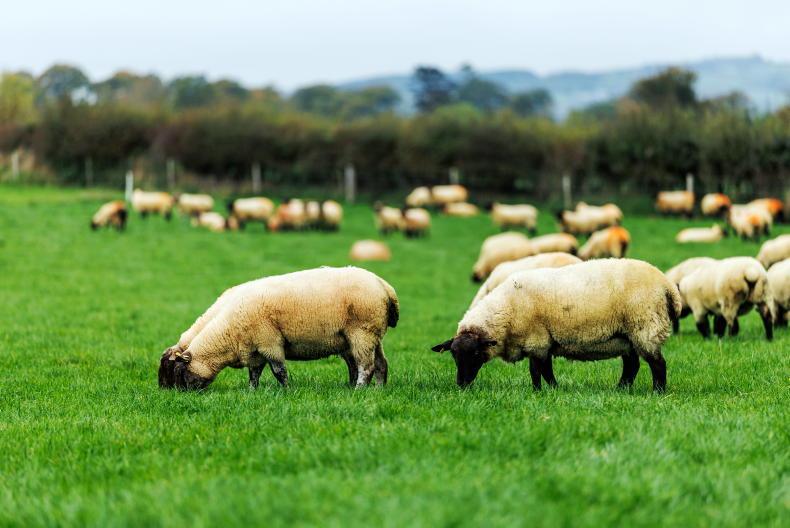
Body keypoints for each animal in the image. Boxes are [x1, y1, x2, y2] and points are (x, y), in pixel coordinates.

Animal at [158, 266, 399, 390]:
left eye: (177, 371)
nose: (169, 393)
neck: (226, 334)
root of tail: (384, 286)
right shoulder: (254, 349)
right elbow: (254, 373)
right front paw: (251, 392)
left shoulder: (269, 342)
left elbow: (279, 371)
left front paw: (285, 391)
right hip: (371, 335)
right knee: (380, 364)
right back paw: (377, 389)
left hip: (361, 333)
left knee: (366, 366)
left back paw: (358, 389)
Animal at [432, 259, 680, 392]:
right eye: (453, 355)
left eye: (475, 354)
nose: (461, 384)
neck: (507, 309)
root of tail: (667, 285)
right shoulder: (540, 343)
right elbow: (542, 369)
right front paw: (548, 390)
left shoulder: (537, 340)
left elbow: (540, 370)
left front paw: (543, 390)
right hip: (627, 337)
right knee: (632, 366)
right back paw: (621, 389)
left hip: (645, 327)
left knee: (658, 364)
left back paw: (658, 392)